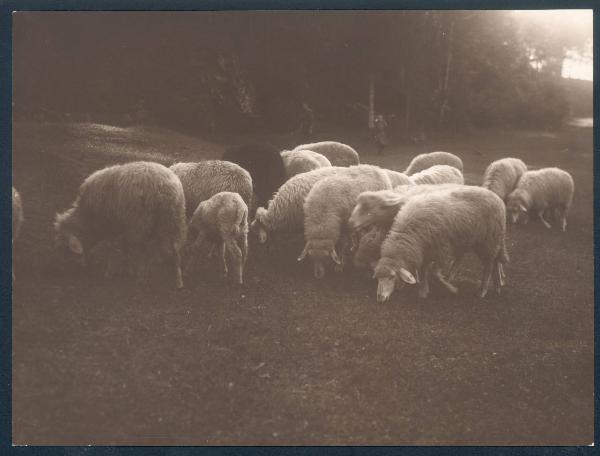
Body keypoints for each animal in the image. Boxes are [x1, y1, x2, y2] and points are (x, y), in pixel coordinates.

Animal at [53, 162, 186, 286]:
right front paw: (128, 268)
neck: (88, 217)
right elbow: (125, 247)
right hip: (173, 220)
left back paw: (141, 276)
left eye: (65, 247)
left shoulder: (111, 225)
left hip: (142, 222)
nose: (60, 270)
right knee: (175, 250)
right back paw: (178, 281)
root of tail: (167, 188)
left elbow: (112, 248)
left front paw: (109, 272)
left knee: (144, 250)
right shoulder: (123, 225)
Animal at [372, 185, 508, 302]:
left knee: (489, 265)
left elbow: (434, 274)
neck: (410, 233)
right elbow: (423, 271)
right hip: (482, 241)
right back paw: (497, 287)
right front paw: (423, 291)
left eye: (391, 277)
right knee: (494, 261)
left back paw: (483, 290)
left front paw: (451, 289)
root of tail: (497, 198)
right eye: (378, 278)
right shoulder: (426, 250)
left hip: (488, 240)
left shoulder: (442, 250)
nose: (380, 298)